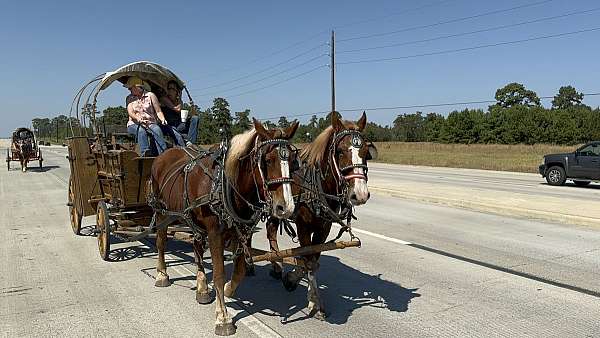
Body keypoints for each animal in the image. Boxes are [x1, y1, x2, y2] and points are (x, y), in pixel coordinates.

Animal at [149, 119, 298, 336]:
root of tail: (163, 155)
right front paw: (223, 317)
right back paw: (162, 275)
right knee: (161, 243)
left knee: (197, 248)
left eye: (294, 161)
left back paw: (202, 288)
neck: (225, 184)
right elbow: (219, 273)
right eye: (268, 160)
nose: (286, 207)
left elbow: (240, 269)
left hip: (192, 219)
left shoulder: (242, 231)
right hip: (162, 212)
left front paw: (228, 290)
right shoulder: (215, 234)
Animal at [264, 112, 372, 320]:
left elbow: (313, 259)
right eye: (340, 151)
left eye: (365, 151)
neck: (317, 185)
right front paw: (314, 303)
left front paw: (293, 278)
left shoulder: (324, 228)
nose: (360, 194)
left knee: (271, 230)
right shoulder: (303, 226)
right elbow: (308, 260)